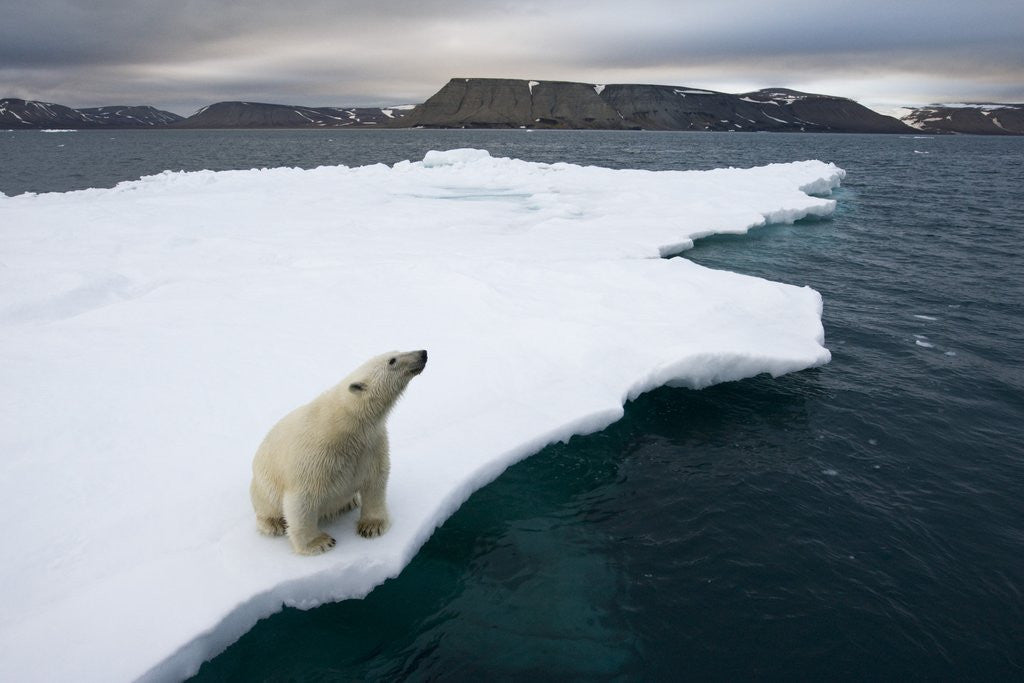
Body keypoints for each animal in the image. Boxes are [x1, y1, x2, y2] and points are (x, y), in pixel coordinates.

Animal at [250, 349, 427, 555]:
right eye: (392, 360)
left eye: (396, 352)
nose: (423, 353)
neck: (347, 425)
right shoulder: (315, 455)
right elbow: (302, 499)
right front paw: (319, 542)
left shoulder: (371, 445)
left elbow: (376, 481)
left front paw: (372, 526)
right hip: (263, 485)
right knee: (268, 505)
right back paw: (274, 524)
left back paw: (350, 502)